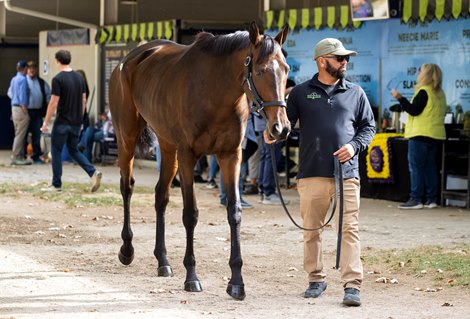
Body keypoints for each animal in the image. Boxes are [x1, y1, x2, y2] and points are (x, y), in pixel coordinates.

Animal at [108, 21, 290, 302]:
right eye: (260, 71)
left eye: (286, 70)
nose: (280, 128)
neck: (216, 92)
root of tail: (128, 59)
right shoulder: (188, 155)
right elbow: (190, 214)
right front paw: (191, 277)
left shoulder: (230, 156)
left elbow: (234, 212)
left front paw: (236, 282)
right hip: (127, 138)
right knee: (127, 187)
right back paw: (127, 249)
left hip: (167, 146)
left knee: (160, 196)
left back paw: (163, 261)